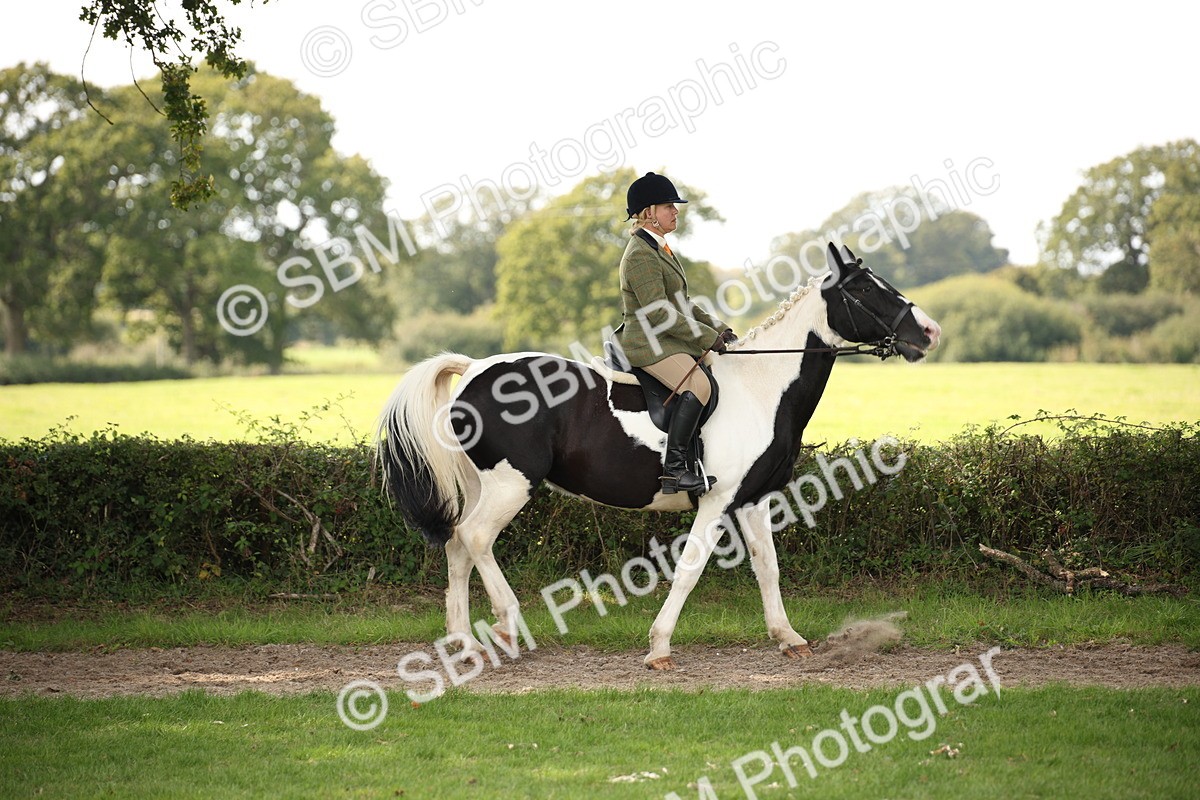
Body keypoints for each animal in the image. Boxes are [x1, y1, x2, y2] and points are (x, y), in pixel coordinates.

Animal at [375, 243, 941, 670]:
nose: (930, 332)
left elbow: (768, 567)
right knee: (475, 539)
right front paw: (660, 647)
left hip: (484, 485)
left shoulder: (753, 499)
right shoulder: (717, 501)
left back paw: (463, 643)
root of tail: (474, 369)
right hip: (512, 485)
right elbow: (691, 568)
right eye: (864, 289)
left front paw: (788, 637)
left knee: (456, 545)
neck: (762, 386)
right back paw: (508, 627)